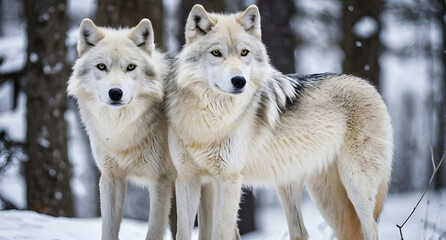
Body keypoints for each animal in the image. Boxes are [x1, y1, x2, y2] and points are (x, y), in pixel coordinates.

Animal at [68, 18, 176, 240]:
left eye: (131, 67)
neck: (122, 132)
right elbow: (108, 229)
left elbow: (154, 232)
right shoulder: (111, 177)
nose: (115, 93)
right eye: (101, 66)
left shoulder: (161, 180)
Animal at [167, 4, 394, 240]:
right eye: (216, 53)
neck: (209, 121)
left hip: (355, 187)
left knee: (371, 229)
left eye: (244, 53)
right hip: (317, 196)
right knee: (303, 232)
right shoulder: (189, 179)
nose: (239, 81)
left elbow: (221, 233)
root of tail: (369, 86)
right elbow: (185, 232)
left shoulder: (229, 179)